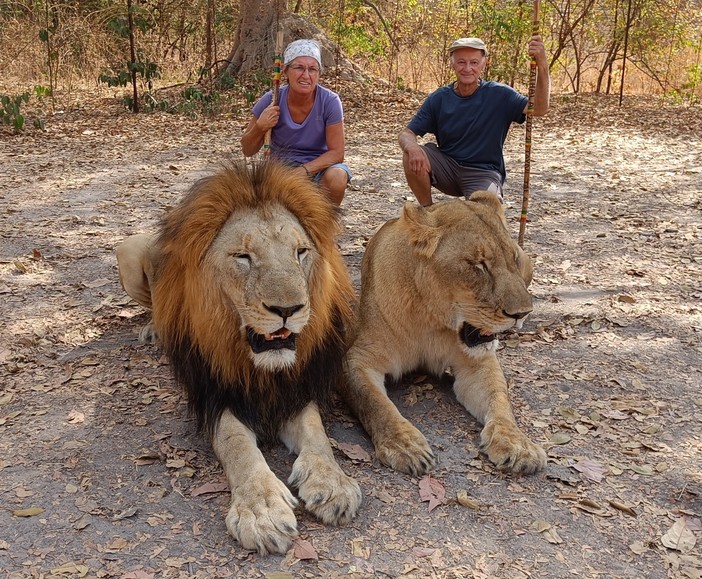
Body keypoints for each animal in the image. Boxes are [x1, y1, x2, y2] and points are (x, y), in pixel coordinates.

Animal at [116, 161, 364, 556]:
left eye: (301, 252)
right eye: (243, 257)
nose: (287, 310)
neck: (260, 368)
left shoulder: (295, 389)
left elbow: (317, 433)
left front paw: (333, 483)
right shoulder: (214, 396)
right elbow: (238, 446)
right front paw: (262, 511)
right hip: (128, 251)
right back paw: (155, 329)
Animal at [342, 193, 552, 478]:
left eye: (513, 259)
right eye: (478, 265)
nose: (522, 313)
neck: (430, 320)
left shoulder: (478, 364)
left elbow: (500, 400)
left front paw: (518, 444)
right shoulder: (357, 359)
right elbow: (375, 403)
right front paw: (405, 444)